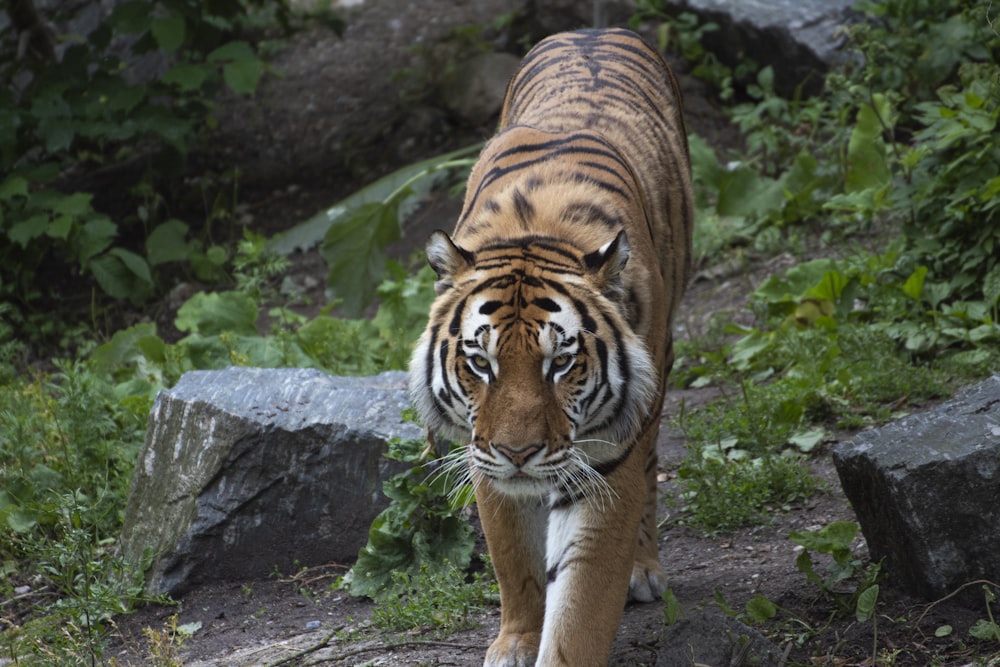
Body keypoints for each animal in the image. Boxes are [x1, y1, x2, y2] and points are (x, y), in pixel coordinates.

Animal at [410, 27, 692, 667]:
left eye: (560, 364)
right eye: (480, 363)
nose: (519, 453)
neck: (533, 231)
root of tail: (593, 29)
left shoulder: (607, 461)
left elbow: (582, 602)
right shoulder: (485, 459)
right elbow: (515, 562)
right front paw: (515, 643)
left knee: (652, 464)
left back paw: (644, 568)